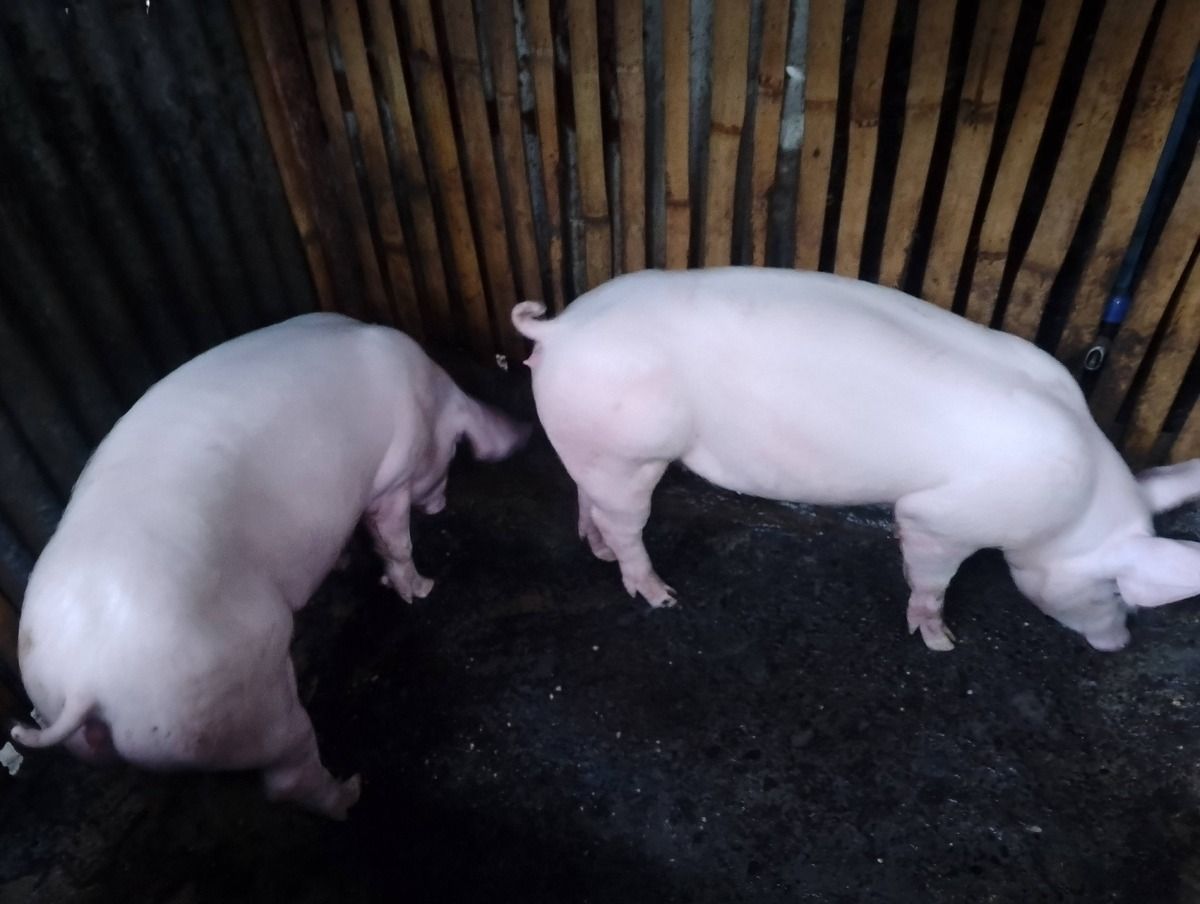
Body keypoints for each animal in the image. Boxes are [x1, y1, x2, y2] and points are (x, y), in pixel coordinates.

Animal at [11, 313, 526, 819]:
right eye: (455, 450)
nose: (440, 504)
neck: (426, 391)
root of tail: (85, 682)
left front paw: (347, 562)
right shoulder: (393, 477)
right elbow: (394, 539)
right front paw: (422, 588)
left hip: (83, 714)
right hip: (240, 700)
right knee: (287, 776)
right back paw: (352, 792)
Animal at [512, 267, 1200, 653]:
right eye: (1118, 593)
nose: (1118, 646)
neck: (1073, 506)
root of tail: (559, 329)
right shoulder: (938, 518)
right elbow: (930, 577)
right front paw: (941, 643)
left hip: (594, 444)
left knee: (587, 497)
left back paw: (598, 550)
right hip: (629, 450)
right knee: (629, 525)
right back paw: (660, 595)